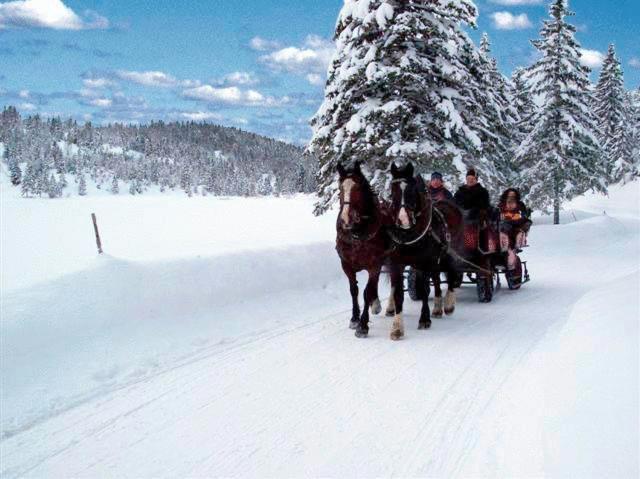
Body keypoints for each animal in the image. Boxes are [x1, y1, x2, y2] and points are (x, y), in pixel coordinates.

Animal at [336, 161, 390, 338]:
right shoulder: (346, 264)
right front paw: (354, 318)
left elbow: (366, 292)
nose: (346, 219)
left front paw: (363, 325)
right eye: (340, 188)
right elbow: (354, 290)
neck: (357, 234)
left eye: (358, 188)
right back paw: (377, 304)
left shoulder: (374, 264)